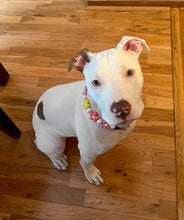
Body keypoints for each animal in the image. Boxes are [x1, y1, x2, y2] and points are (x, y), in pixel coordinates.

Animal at [32, 36, 150, 186]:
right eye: (95, 83)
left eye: (129, 72)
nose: (120, 109)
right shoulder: (88, 152)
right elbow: (85, 164)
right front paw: (91, 175)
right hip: (53, 143)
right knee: (47, 150)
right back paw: (58, 160)